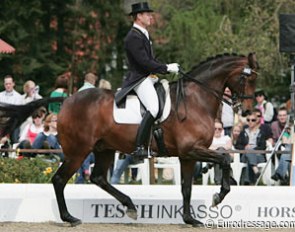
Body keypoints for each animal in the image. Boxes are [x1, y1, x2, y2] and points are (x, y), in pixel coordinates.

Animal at [0, 52, 260, 227]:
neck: (196, 100)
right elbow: (225, 159)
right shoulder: (191, 149)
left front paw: (190, 219)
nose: (248, 112)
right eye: (246, 79)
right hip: (78, 151)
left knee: (98, 177)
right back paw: (70, 218)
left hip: (104, 148)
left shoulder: (187, 155)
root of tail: (66, 100)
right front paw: (218, 196)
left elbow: (187, 187)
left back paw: (131, 206)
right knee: (60, 179)